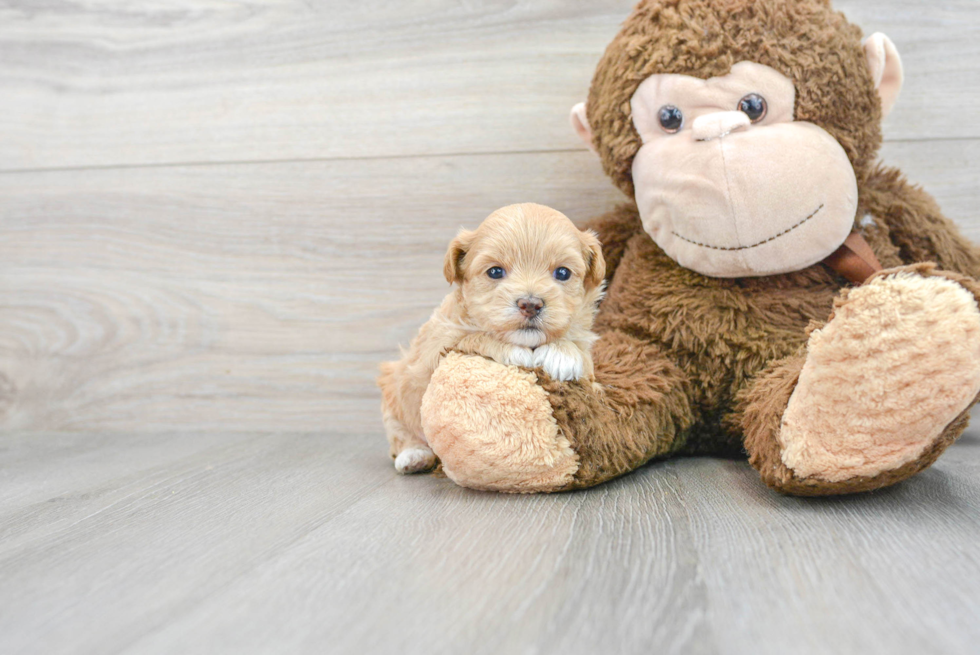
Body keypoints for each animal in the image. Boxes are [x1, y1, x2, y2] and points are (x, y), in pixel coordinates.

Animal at [378, 202, 600, 474]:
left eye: (563, 273)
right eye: (495, 272)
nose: (530, 304)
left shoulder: (591, 368)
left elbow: (581, 355)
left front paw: (562, 353)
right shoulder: (436, 344)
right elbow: (475, 336)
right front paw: (514, 350)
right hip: (394, 391)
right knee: (400, 433)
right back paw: (414, 455)